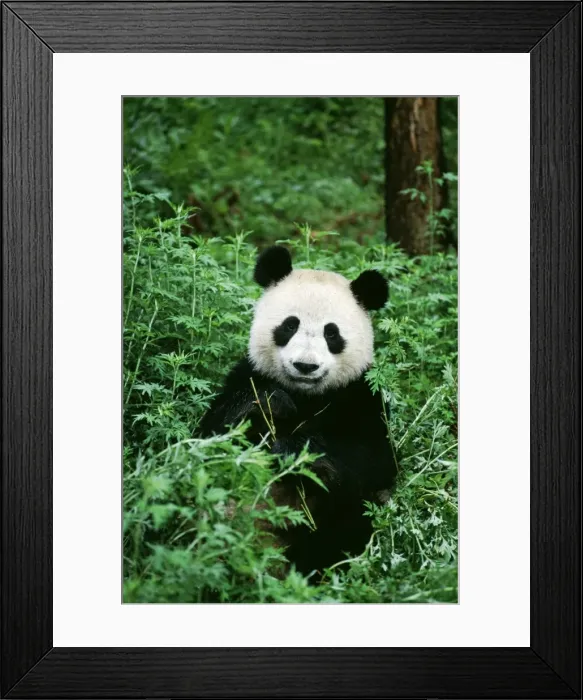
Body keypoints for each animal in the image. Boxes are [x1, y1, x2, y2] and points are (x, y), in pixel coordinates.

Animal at [199, 245, 397, 574]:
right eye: (290, 325)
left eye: (332, 334)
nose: (306, 366)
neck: (306, 397)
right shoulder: (247, 375)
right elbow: (211, 434)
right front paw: (272, 405)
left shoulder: (362, 397)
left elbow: (373, 463)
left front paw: (294, 451)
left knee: (344, 527)